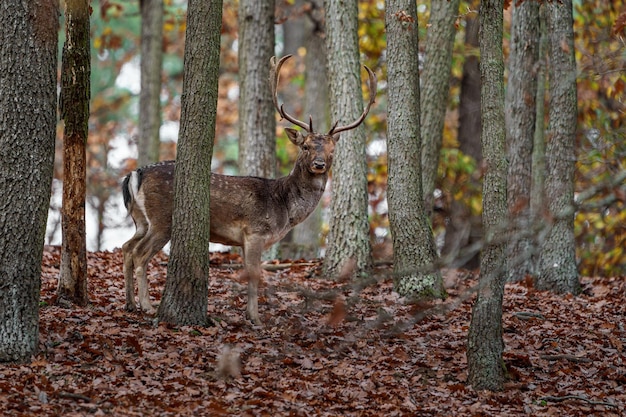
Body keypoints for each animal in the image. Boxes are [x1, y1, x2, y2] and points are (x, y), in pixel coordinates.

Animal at [122, 53, 376, 324]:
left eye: (331, 150)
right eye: (305, 146)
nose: (319, 164)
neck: (284, 207)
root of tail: (136, 173)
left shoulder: (244, 240)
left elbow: (248, 273)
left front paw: (248, 313)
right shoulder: (255, 231)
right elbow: (255, 274)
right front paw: (255, 318)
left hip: (142, 220)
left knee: (127, 248)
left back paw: (130, 303)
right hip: (162, 220)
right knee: (139, 253)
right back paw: (147, 306)